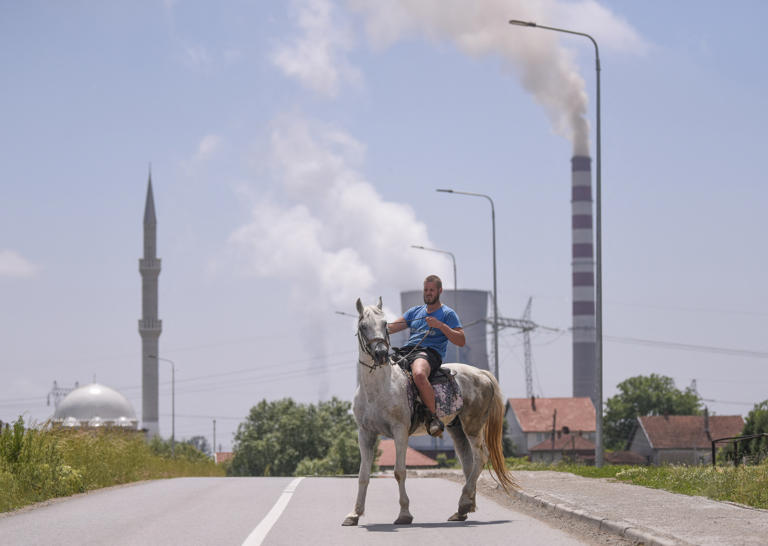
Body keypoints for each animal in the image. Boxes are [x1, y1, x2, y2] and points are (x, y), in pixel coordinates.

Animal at [344, 298, 516, 524]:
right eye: (363, 326)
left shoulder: (400, 432)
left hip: (473, 426)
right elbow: (363, 475)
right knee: (468, 462)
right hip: (456, 429)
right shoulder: (365, 434)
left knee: (480, 457)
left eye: (385, 324)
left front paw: (404, 514)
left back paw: (464, 502)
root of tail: (481, 373)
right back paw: (464, 507)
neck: (379, 388)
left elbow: (399, 472)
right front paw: (354, 514)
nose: (380, 353)